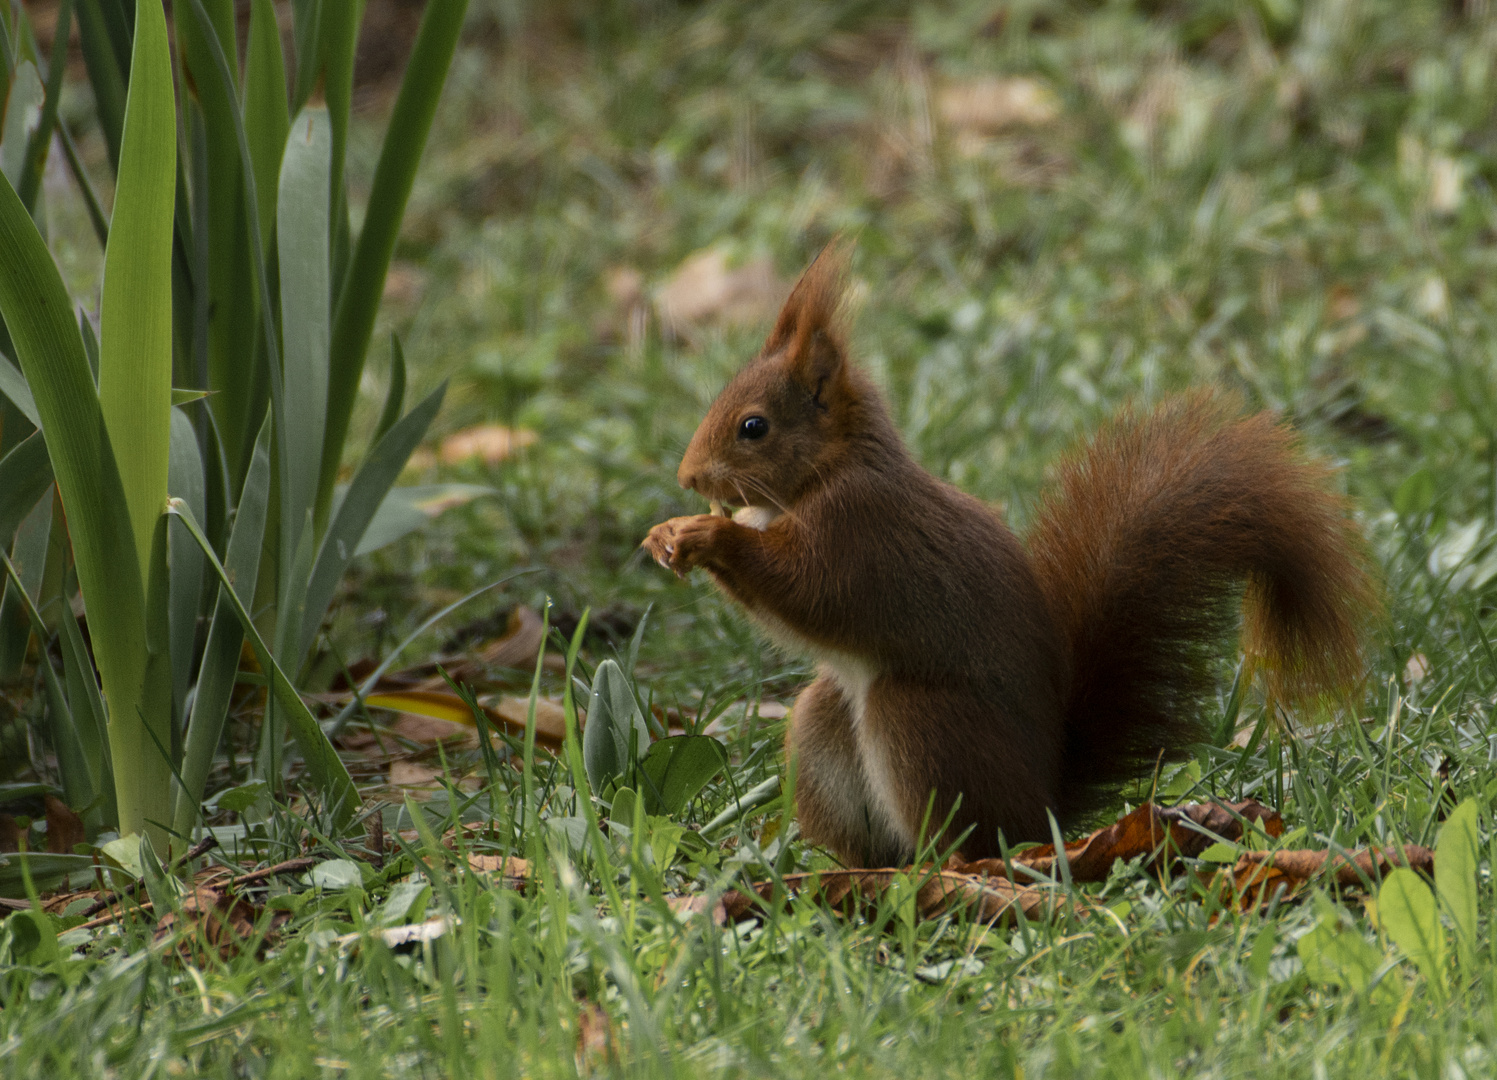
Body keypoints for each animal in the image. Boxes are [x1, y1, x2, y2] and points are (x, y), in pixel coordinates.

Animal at [643, 239, 1377, 862]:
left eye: (753, 427)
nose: (687, 476)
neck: (829, 469)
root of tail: (1042, 808)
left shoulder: (859, 530)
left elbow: (806, 589)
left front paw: (708, 535)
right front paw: (667, 535)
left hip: (918, 722)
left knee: (969, 838)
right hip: (824, 724)